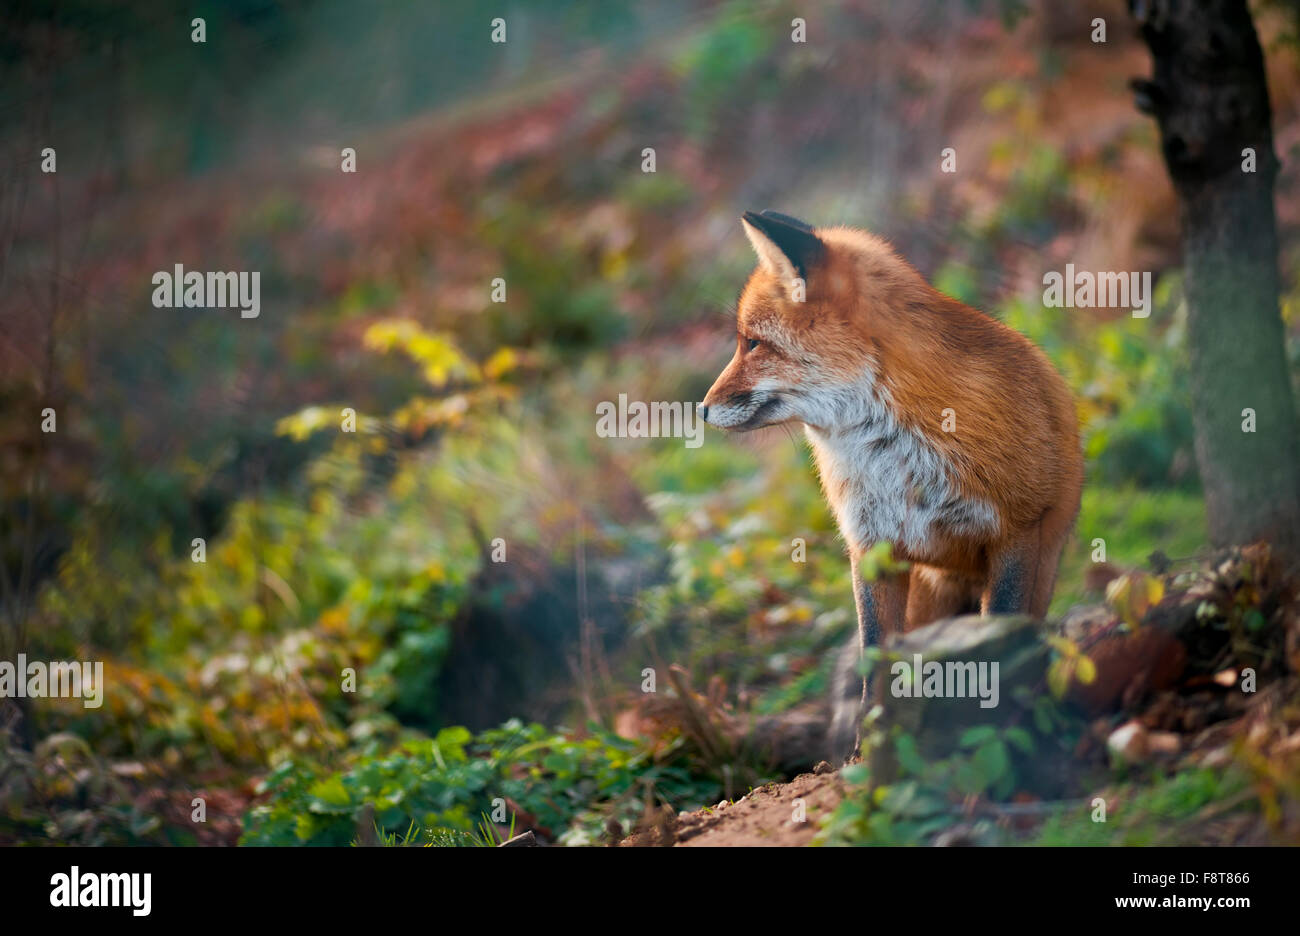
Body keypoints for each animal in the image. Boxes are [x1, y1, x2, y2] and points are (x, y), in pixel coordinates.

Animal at [707, 210, 1081, 754]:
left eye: (751, 343)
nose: (700, 408)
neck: (893, 454)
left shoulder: (1015, 532)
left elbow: (1000, 636)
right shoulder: (872, 547)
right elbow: (873, 663)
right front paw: (867, 752)